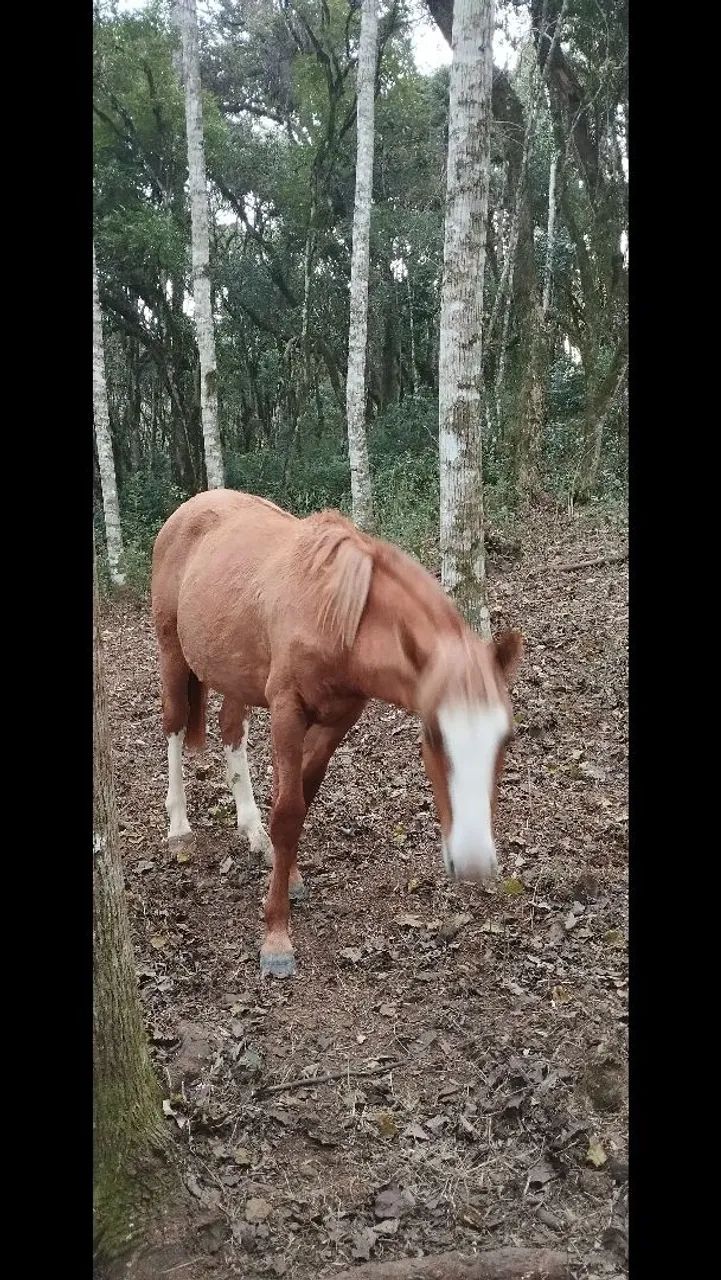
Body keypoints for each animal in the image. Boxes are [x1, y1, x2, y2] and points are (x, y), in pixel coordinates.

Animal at [151, 489, 523, 978]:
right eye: (432, 734)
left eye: (506, 738)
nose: (475, 861)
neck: (336, 617)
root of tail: (190, 508)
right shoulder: (287, 712)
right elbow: (288, 813)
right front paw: (276, 938)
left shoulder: (336, 721)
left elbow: (300, 799)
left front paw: (288, 876)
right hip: (173, 654)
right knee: (174, 727)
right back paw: (178, 828)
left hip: (236, 677)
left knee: (232, 733)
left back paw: (252, 832)